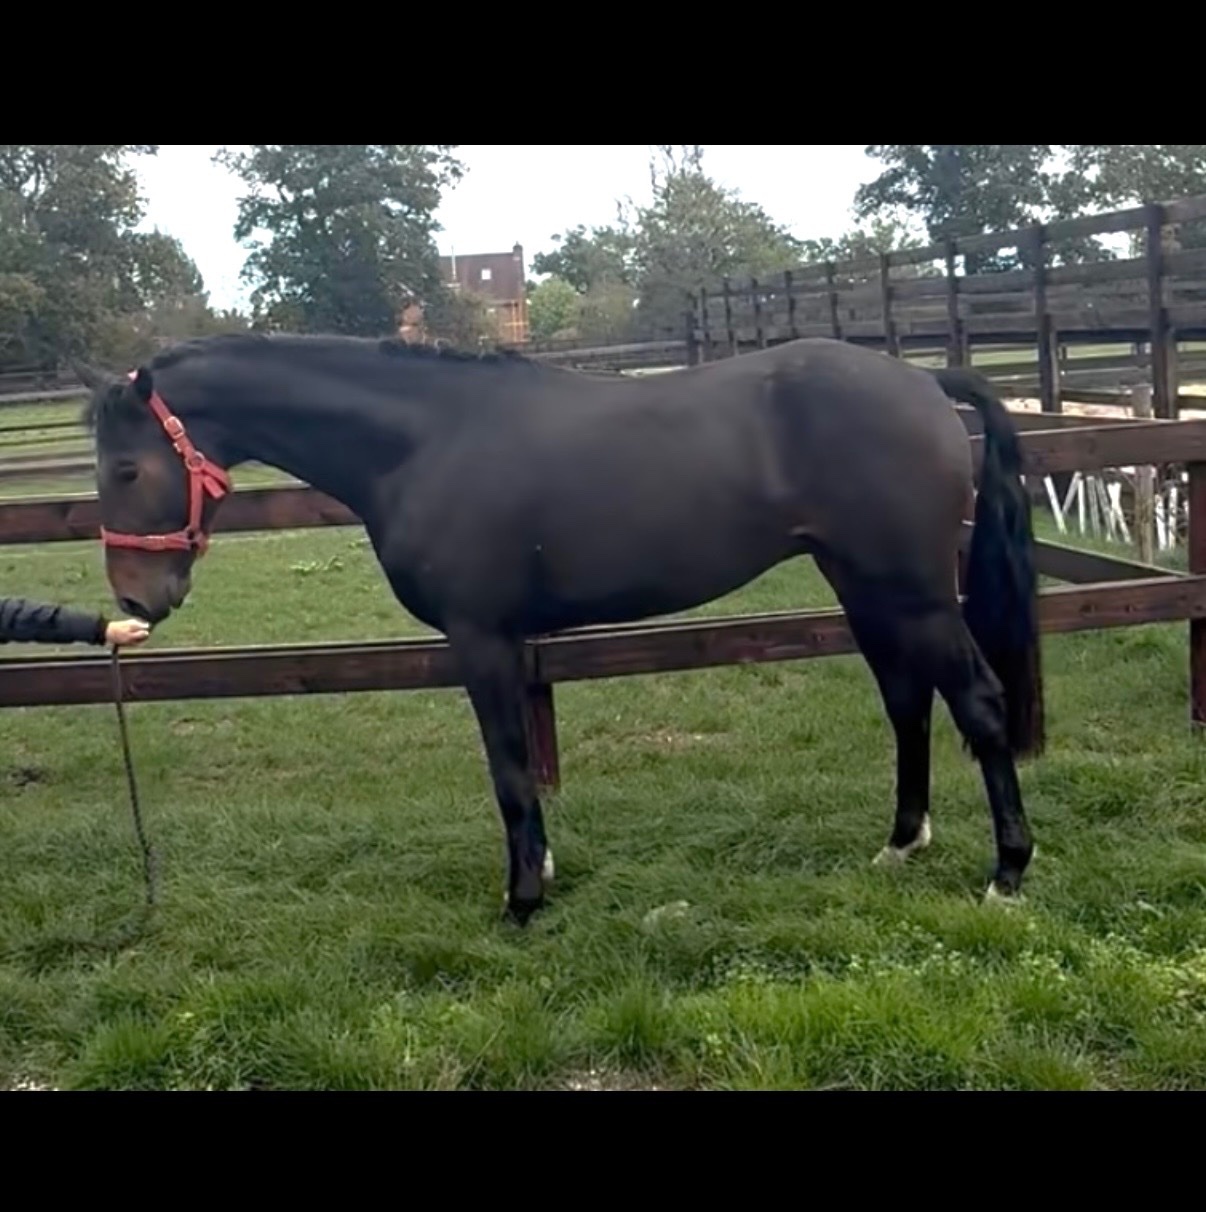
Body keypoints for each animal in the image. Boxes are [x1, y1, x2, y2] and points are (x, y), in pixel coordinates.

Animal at [75, 333, 1044, 925]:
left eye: (125, 469)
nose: (137, 600)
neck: (424, 443)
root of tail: (922, 380)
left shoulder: (482, 640)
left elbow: (509, 772)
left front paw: (521, 901)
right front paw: (537, 880)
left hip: (916, 595)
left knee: (980, 704)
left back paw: (1007, 873)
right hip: (866, 588)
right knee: (908, 701)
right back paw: (901, 845)